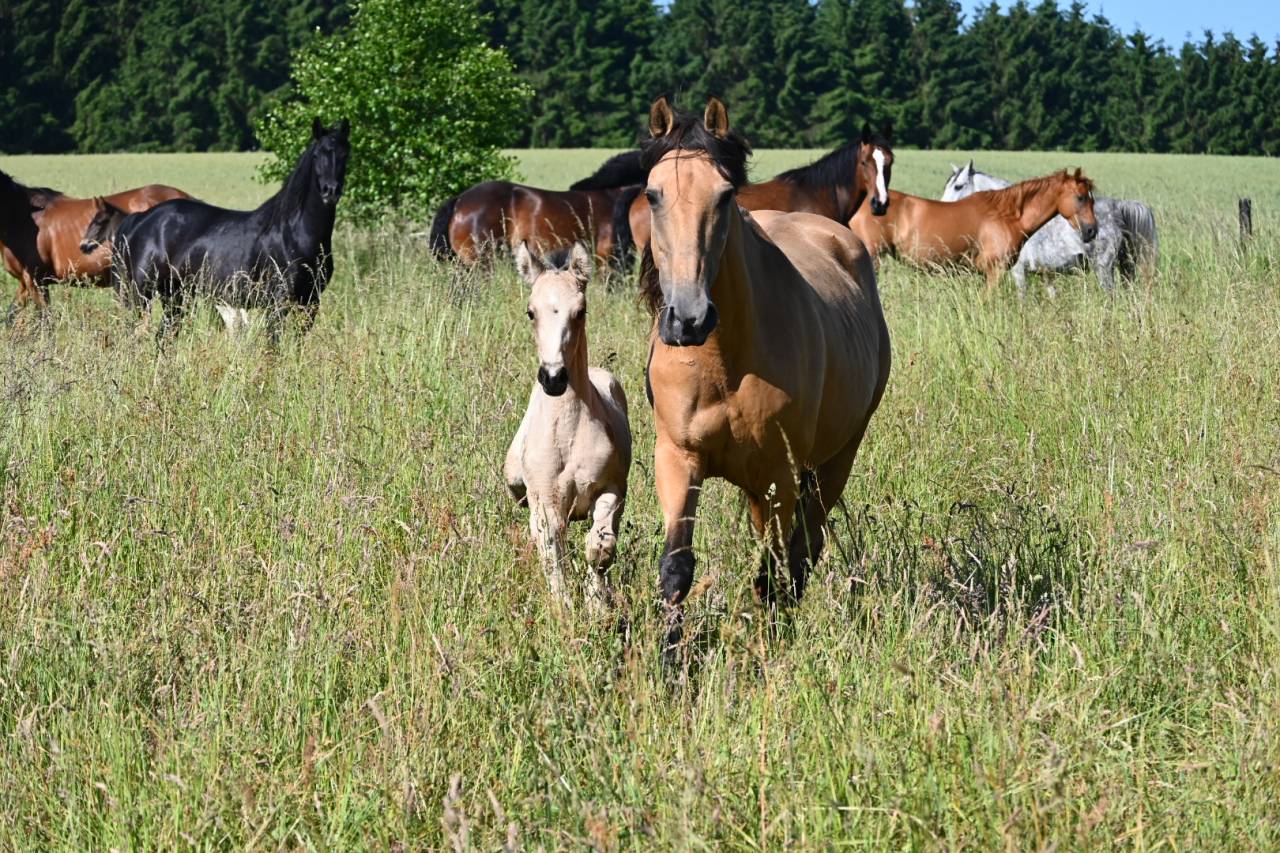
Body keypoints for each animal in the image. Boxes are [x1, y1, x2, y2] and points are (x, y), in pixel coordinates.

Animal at [88, 119, 349, 338]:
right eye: (317, 154)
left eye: (345, 153)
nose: (330, 191)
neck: (294, 235)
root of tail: (141, 219)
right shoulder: (279, 302)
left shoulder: (310, 302)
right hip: (142, 294)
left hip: (175, 296)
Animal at [503, 241, 631, 615]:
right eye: (531, 312)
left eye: (581, 311)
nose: (554, 378)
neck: (567, 435)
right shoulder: (544, 502)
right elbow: (551, 550)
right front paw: (563, 608)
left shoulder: (611, 491)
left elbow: (600, 549)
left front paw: (596, 605)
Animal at [942, 160, 1158, 293]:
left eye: (958, 186)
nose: (942, 207)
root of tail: (1118, 207)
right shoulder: (1047, 275)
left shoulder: (1019, 273)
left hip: (1103, 269)